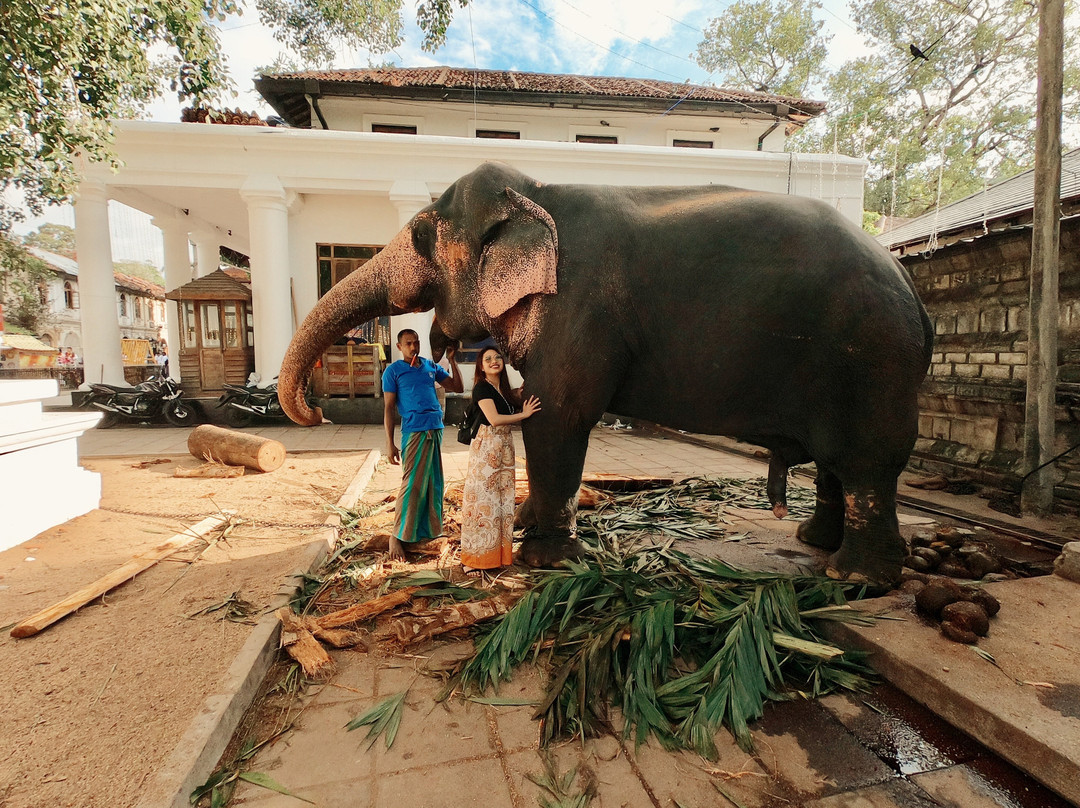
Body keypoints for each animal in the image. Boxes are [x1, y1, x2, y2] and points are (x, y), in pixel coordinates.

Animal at [280, 160, 937, 587]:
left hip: (873, 361)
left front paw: (543, 560)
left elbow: (557, 415)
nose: (313, 414)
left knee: (866, 461)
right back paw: (813, 544)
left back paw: (857, 578)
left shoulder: (579, 305)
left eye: (419, 235)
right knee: (837, 463)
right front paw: (526, 526)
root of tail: (909, 283)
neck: (536, 193)